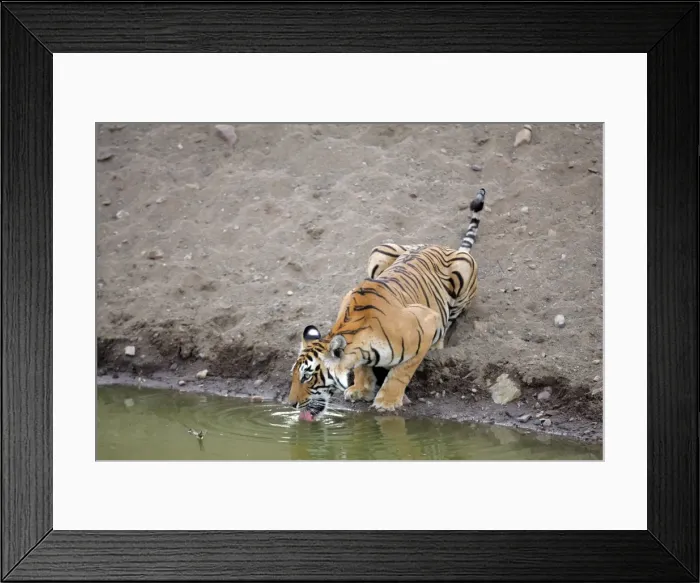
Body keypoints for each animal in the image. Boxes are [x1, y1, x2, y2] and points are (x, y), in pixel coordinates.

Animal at [288, 187, 487, 421]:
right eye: (294, 375)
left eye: (307, 377)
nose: (291, 404)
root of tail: (444, 247)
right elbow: (362, 367)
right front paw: (361, 389)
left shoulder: (427, 320)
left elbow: (401, 372)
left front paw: (387, 402)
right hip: (380, 250)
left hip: (463, 272)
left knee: (452, 318)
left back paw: (438, 343)